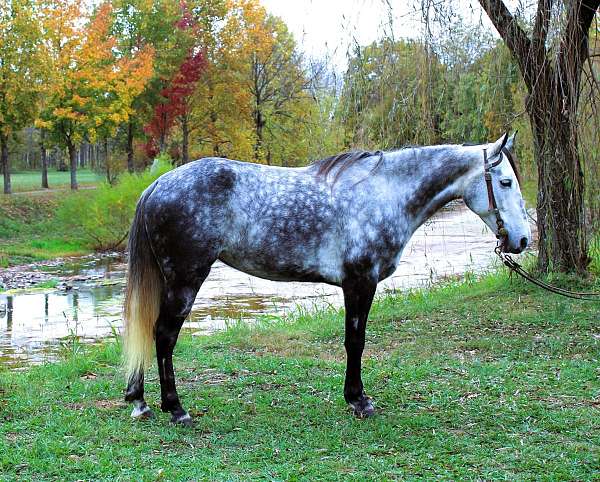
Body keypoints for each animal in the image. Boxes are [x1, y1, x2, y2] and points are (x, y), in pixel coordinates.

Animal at [123, 132, 528, 426]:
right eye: (506, 182)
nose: (522, 240)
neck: (383, 194)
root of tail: (157, 184)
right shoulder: (360, 282)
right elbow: (355, 341)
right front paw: (359, 400)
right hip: (184, 281)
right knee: (164, 336)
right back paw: (175, 409)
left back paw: (139, 401)